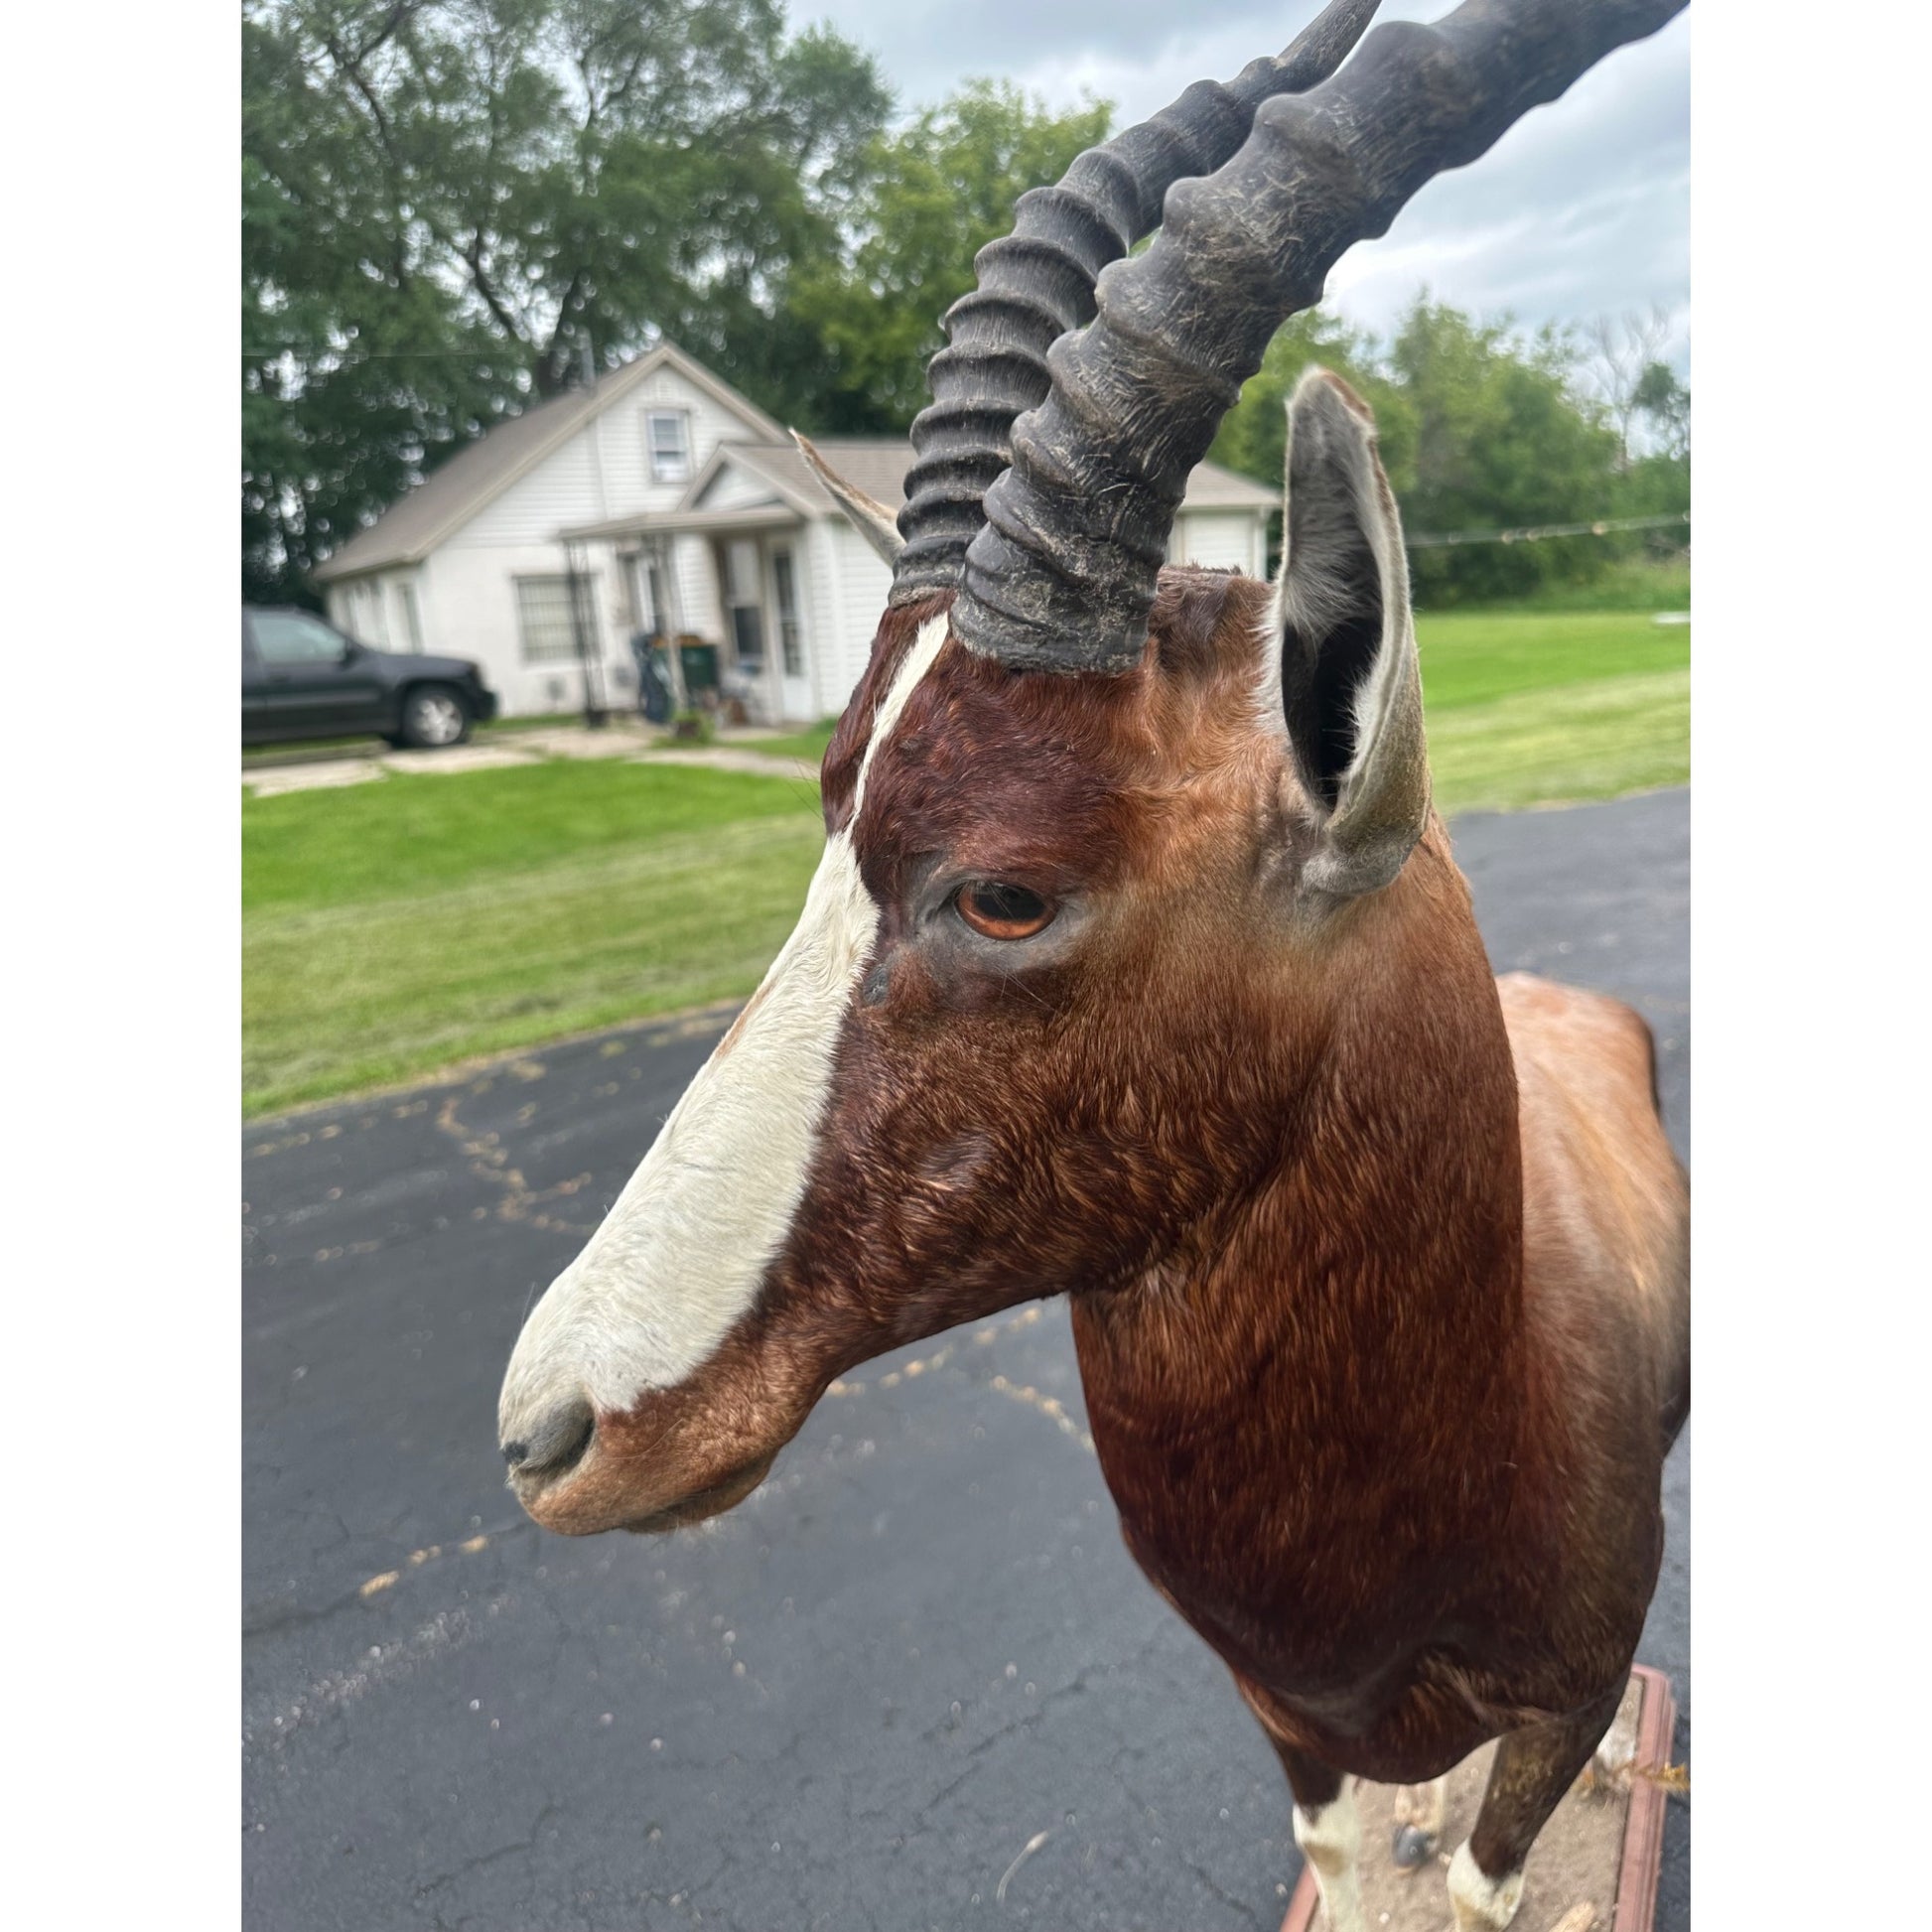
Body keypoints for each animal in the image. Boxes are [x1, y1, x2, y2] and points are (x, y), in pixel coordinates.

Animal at [498, 2, 1691, 1925]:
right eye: (828, 799)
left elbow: (1482, 1875)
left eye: (1002, 891)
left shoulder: (1560, 1710)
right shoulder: (1289, 1722)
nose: (550, 1433)